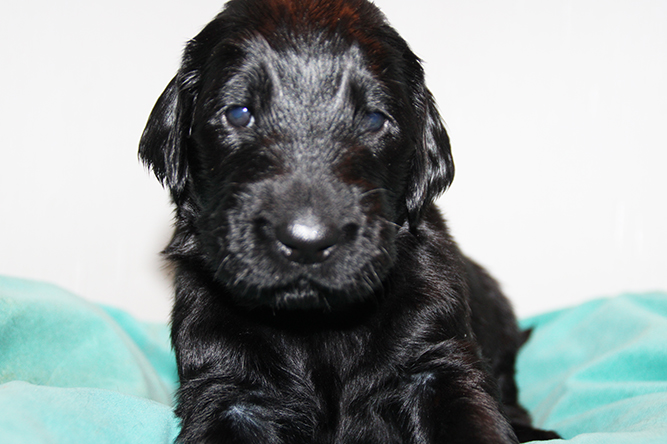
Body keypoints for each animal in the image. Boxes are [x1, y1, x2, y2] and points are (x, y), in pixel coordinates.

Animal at [139, 0, 560, 442]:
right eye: (238, 113)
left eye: (374, 119)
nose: (306, 242)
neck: (316, 325)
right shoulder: (226, 387)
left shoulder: (437, 362)